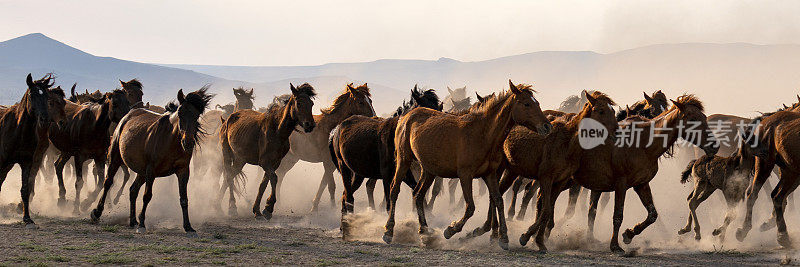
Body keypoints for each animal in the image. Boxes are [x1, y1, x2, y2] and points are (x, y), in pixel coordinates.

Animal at [0, 74, 63, 229]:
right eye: (32, 95)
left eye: (46, 96)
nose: (44, 118)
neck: (18, 131)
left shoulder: (27, 163)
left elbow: (25, 189)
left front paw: (27, 218)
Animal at [90, 86, 212, 237]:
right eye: (180, 114)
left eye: (196, 116)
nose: (188, 142)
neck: (170, 140)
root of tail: (127, 116)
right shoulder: (151, 171)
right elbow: (147, 196)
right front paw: (142, 224)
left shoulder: (183, 171)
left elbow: (184, 198)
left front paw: (188, 227)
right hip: (116, 160)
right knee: (108, 183)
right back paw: (97, 213)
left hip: (141, 172)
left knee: (133, 190)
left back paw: (133, 221)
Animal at [220, 83, 320, 220]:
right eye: (299, 103)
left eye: (311, 103)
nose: (310, 125)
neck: (277, 131)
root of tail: (227, 119)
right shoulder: (265, 162)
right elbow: (274, 178)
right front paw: (268, 208)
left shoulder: (274, 163)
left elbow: (263, 184)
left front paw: (258, 210)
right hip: (227, 153)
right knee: (229, 176)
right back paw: (230, 207)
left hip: (241, 159)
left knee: (230, 176)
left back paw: (217, 202)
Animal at [382, 80, 552, 250]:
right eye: (527, 103)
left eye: (536, 103)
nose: (547, 126)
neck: (482, 134)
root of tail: (407, 116)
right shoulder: (465, 175)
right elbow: (470, 207)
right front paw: (451, 230)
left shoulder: (490, 174)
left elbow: (498, 200)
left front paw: (503, 238)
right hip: (404, 160)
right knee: (394, 189)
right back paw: (389, 231)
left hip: (429, 170)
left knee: (418, 194)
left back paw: (424, 231)